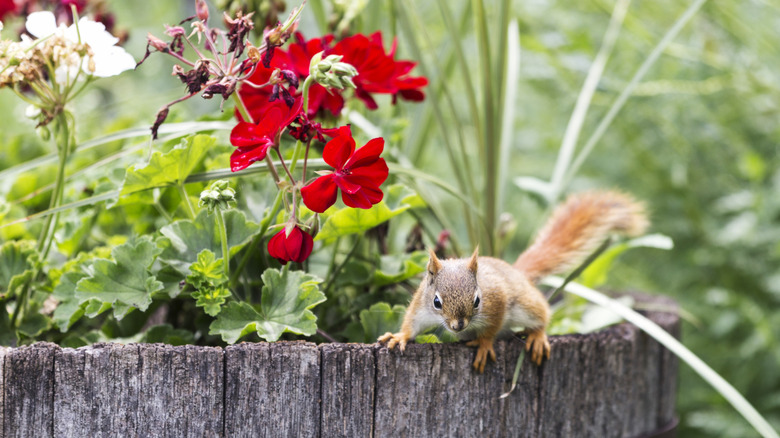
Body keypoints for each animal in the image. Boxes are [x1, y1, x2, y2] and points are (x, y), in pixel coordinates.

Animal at [378, 191, 648, 373]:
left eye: (477, 301)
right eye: (436, 302)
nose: (458, 325)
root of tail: (517, 273)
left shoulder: (497, 302)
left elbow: (492, 329)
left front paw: (484, 344)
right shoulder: (420, 304)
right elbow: (412, 323)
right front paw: (399, 337)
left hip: (525, 305)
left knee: (541, 314)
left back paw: (536, 336)